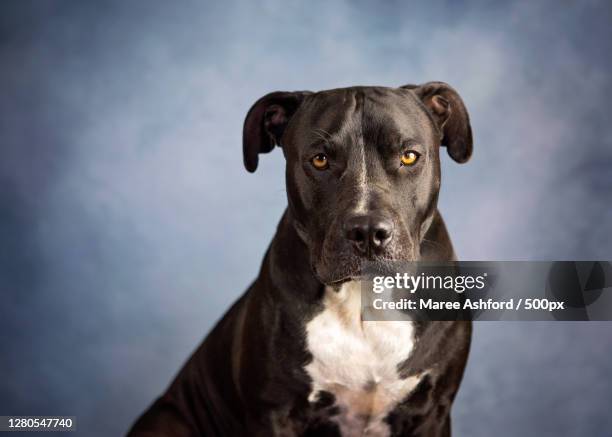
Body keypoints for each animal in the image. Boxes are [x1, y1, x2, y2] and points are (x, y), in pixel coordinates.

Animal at [129, 82, 474, 436]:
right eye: (320, 160)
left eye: (409, 156)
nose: (367, 231)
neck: (359, 297)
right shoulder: (274, 412)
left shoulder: (432, 412)